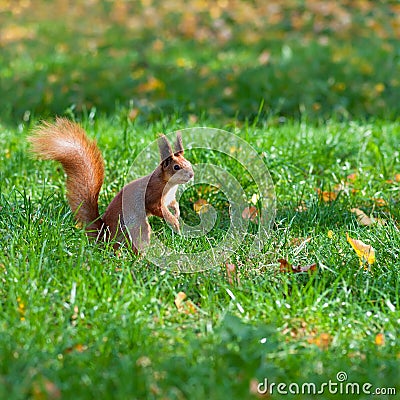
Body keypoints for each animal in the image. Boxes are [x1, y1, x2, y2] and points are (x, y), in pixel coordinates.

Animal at [28, 117, 194, 252]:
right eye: (176, 167)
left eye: (189, 162)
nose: (192, 175)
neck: (168, 184)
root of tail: (105, 236)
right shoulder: (152, 195)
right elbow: (157, 208)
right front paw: (174, 222)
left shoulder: (170, 198)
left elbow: (174, 204)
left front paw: (177, 213)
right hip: (136, 227)